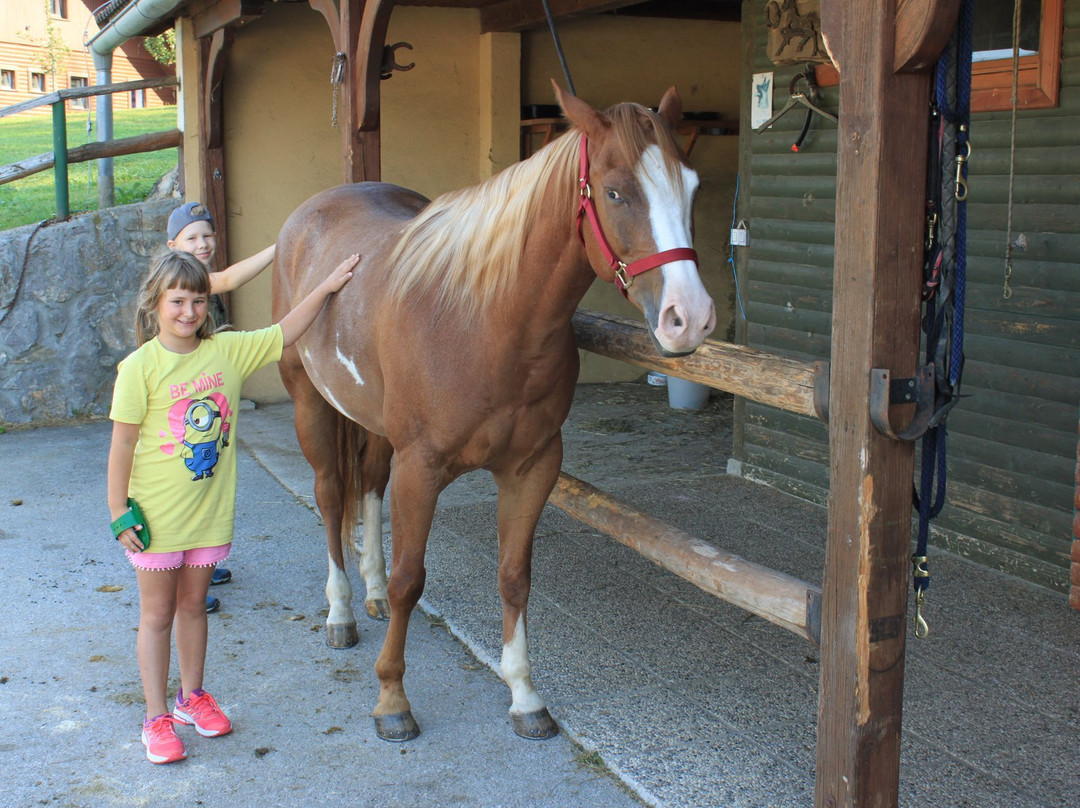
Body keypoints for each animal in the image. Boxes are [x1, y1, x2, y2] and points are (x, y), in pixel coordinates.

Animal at [274, 85, 712, 743]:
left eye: (692, 187)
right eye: (616, 192)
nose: (690, 318)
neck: (486, 322)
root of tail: (311, 211)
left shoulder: (532, 468)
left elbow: (514, 576)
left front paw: (525, 695)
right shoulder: (422, 469)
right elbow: (411, 579)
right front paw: (392, 698)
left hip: (377, 427)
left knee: (368, 485)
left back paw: (367, 591)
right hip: (311, 405)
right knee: (330, 497)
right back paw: (342, 612)